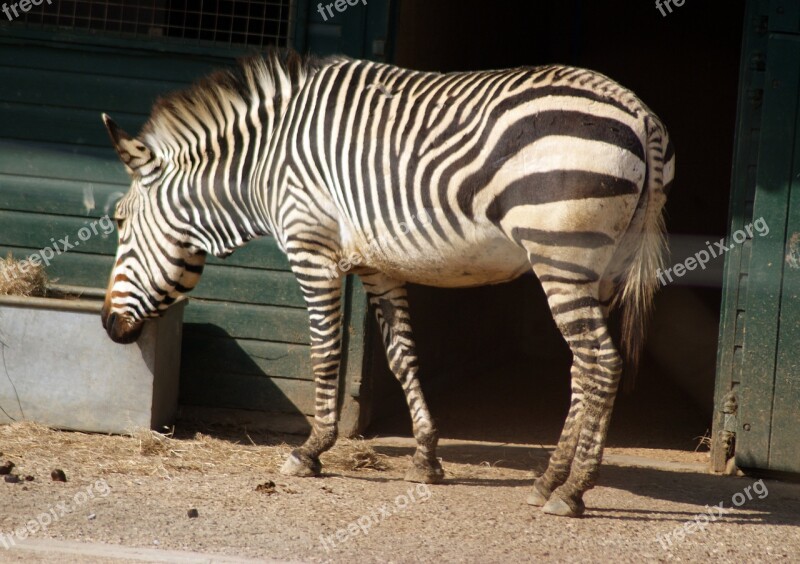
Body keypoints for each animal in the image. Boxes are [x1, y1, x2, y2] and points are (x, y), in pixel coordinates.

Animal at [101, 50, 676, 516]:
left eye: (119, 222)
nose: (108, 326)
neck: (265, 163)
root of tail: (637, 110)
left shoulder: (313, 250)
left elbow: (326, 352)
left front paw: (312, 449)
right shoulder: (378, 265)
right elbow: (403, 358)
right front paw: (426, 458)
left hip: (560, 253)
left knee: (602, 363)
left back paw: (573, 491)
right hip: (596, 266)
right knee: (584, 367)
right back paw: (548, 480)